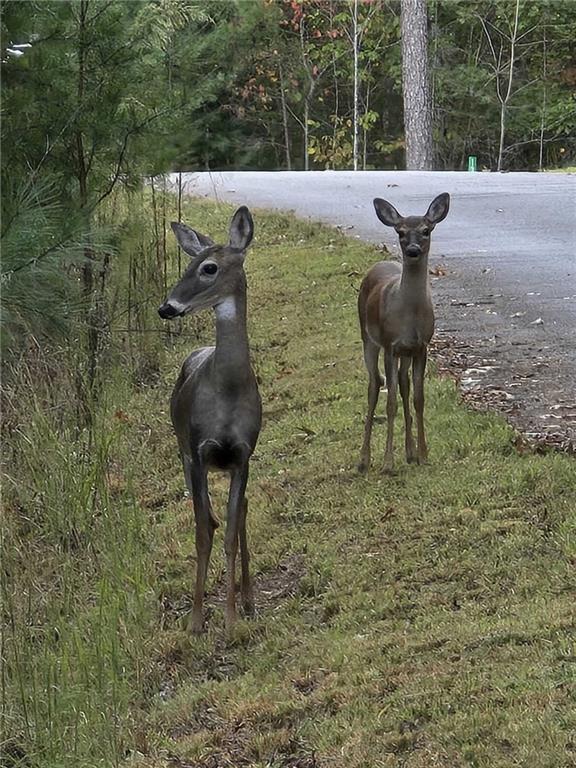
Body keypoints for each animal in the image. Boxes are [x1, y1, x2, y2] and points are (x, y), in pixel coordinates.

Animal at [358, 192, 452, 474]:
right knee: (375, 385)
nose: (412, 250)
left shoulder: (421, 346)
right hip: (368, 338)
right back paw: (364, 459)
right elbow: (390, 404)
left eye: (426, 230)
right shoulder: (390, 344)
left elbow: (418, 398)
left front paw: (423, 454)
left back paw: (409, 452)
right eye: (400, 232)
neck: (409, 315)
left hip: (405, 353)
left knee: (403, 383)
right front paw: (388, 463)